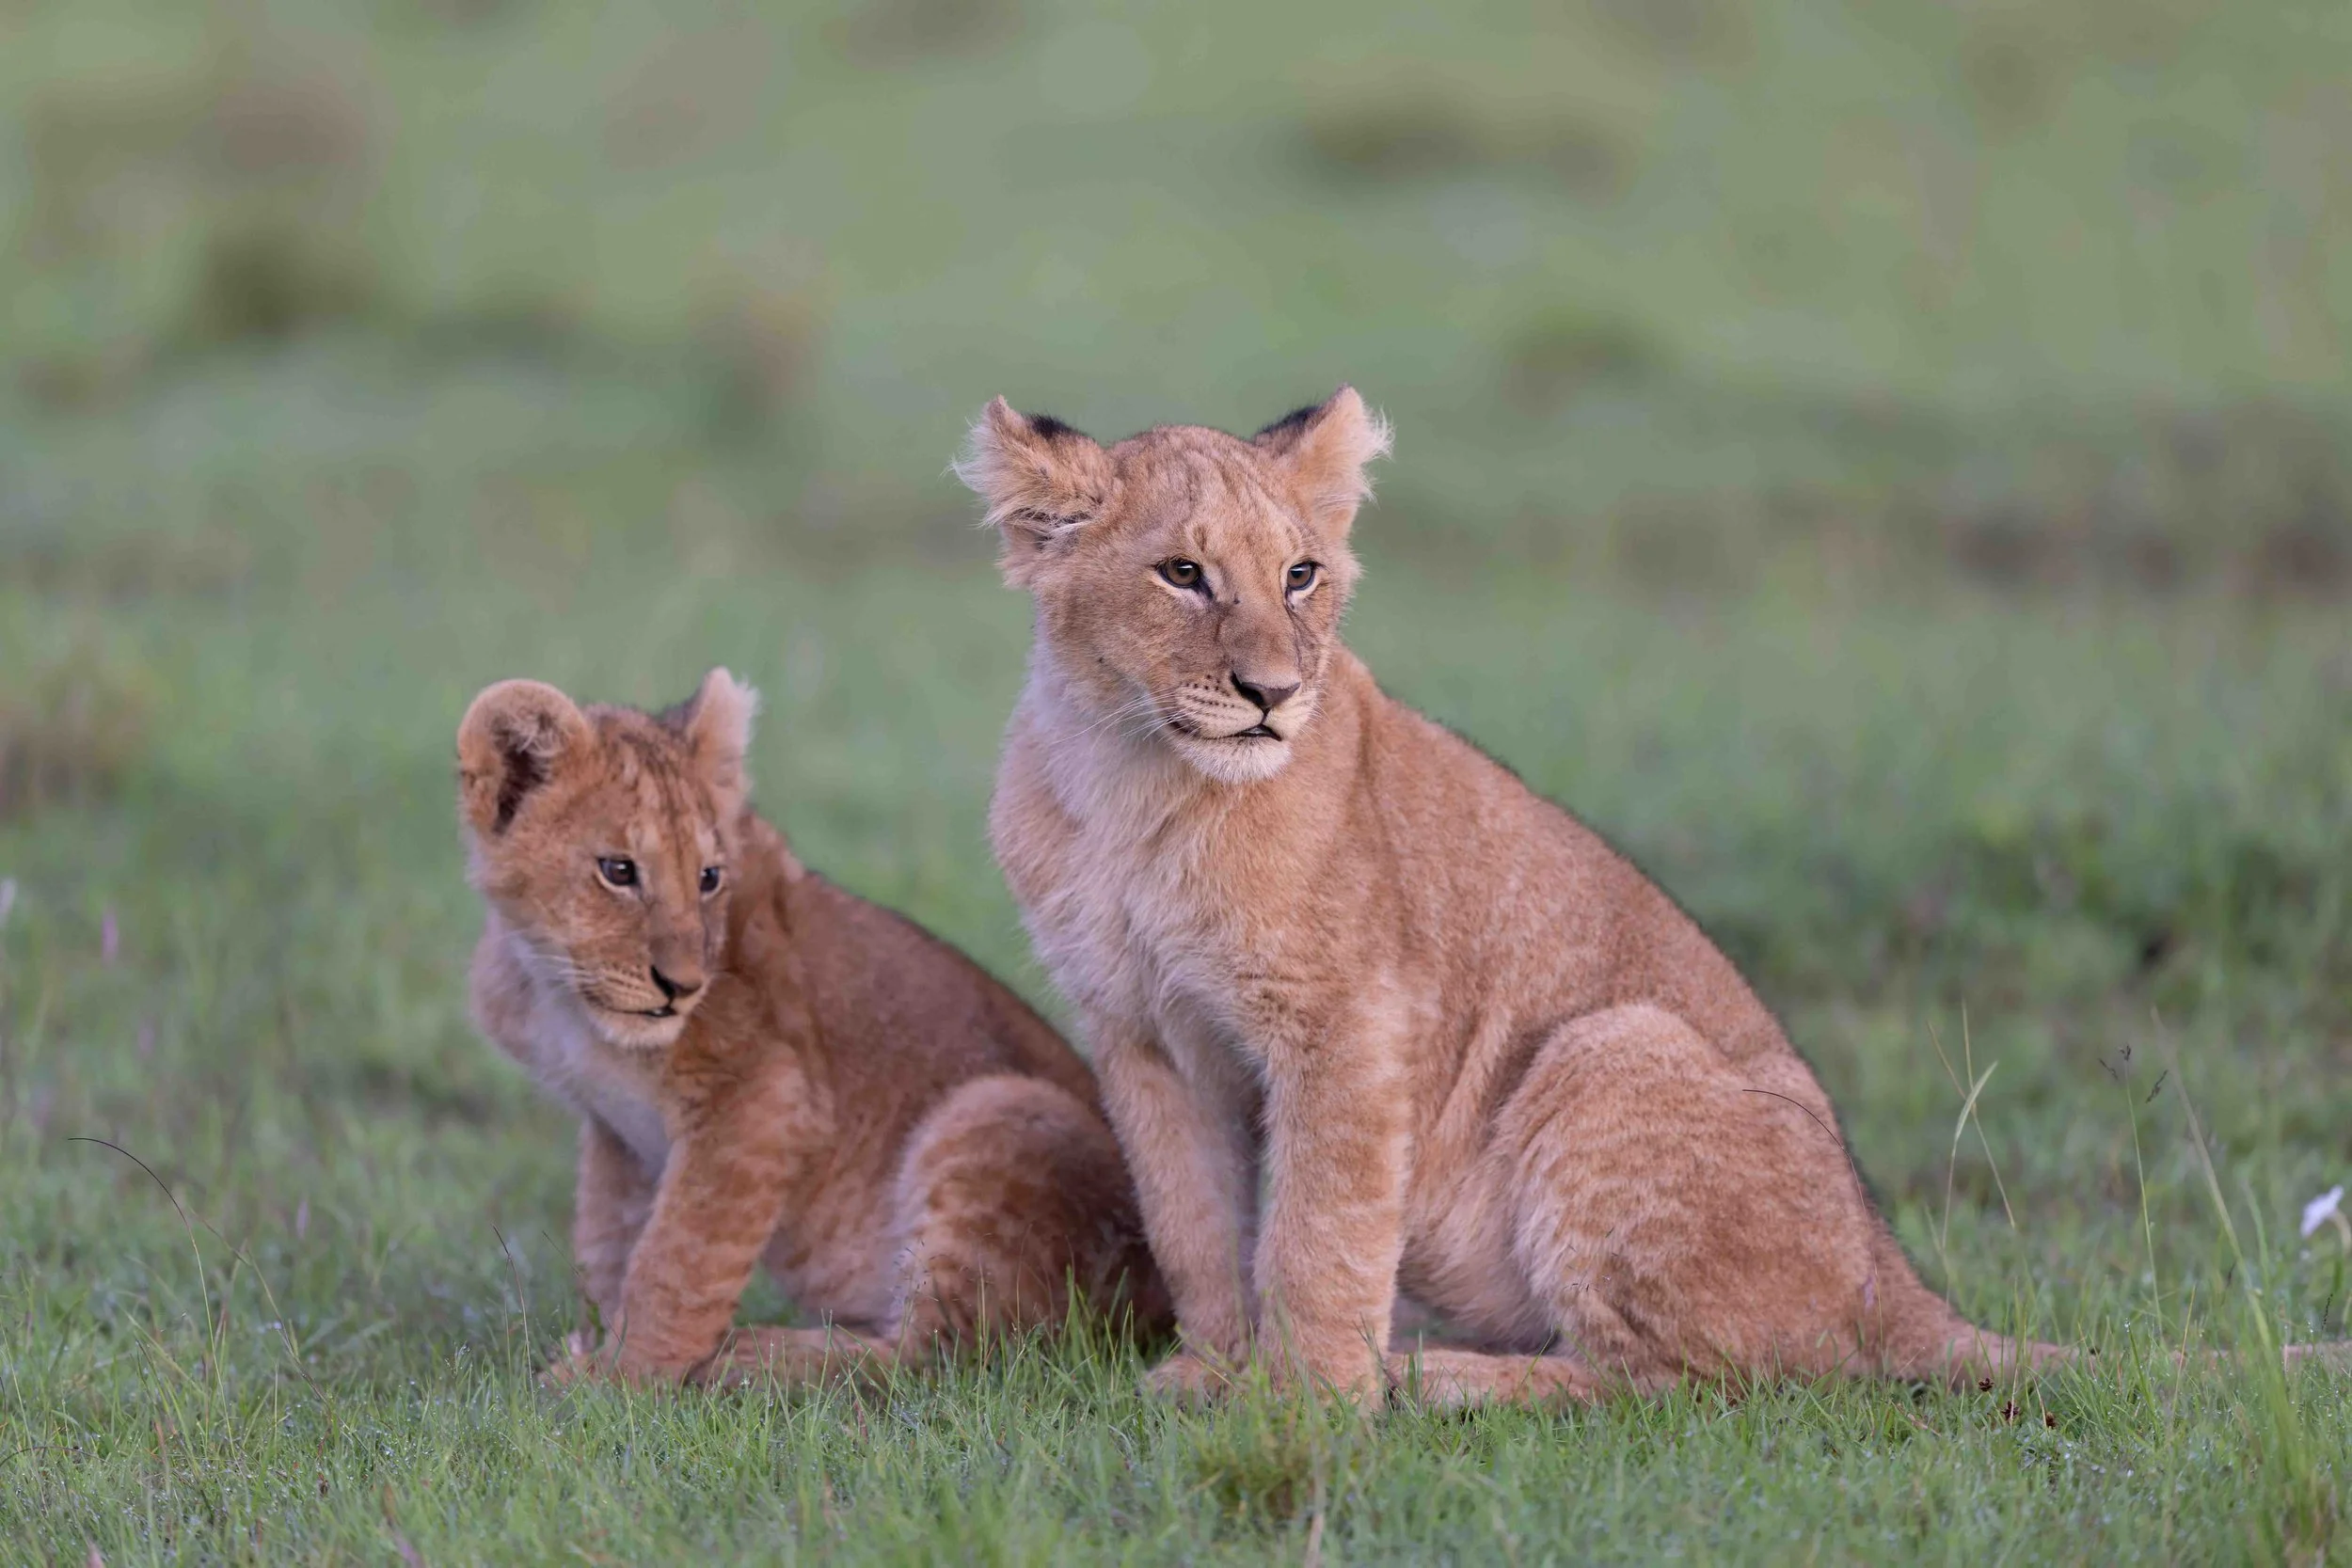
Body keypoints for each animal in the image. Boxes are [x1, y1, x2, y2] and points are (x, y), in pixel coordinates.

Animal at [457, 668, 1169, 1388]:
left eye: (709, 878)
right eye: (618, 870)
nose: (683, 986)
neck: (560, 996)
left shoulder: (764, 1098)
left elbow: (676, 1260)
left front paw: (621, 1379)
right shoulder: (616, 1130)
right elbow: (608, 1245)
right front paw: (598, 1346)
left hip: (997, 1108)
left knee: (934, 1356)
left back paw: (748, 1356)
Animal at [957, 387, 2324, 1407]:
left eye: (1300, 574)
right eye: (1182, 573)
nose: (1272, 694)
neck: (1134, 783)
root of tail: (1893, 1278)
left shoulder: (1349, 1026)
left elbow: (1318, 1229)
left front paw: (1310, 1398)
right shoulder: (1144, 1037)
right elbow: (1195, 1220)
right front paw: (1212, 1371)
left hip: (1606, 1044)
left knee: (1697, 1381)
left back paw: (1445, 1376)